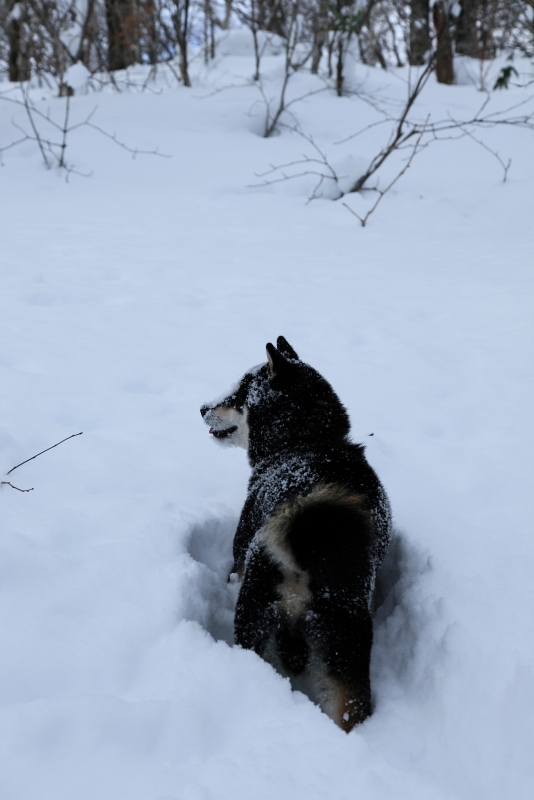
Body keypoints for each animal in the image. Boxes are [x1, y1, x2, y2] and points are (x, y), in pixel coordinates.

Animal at [201, 338, 394, 732]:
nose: (202, 408)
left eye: (239, 394)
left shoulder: (240, 556)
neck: (306, 441)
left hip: (254, 617)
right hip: (345, 654)